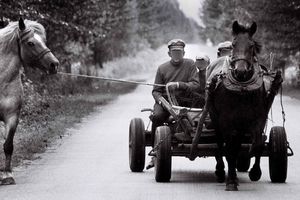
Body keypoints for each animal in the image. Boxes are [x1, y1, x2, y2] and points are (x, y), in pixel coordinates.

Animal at [0, 18, 59, 184]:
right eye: (30, 43)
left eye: (44, 41)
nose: (54, 64)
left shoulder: (12, 117)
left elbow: (8, 145)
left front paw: (7, 175)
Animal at [199, 20, 282, 191]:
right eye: (234, 44)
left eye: (251, 45)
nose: (241, 71)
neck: (242, 88)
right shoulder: (226, 120)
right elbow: (229, 149)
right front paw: (230, 181)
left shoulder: (256, 118)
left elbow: (256, 144)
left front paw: (254, 171)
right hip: (216, 118)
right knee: (220, 143)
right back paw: (221, 172)